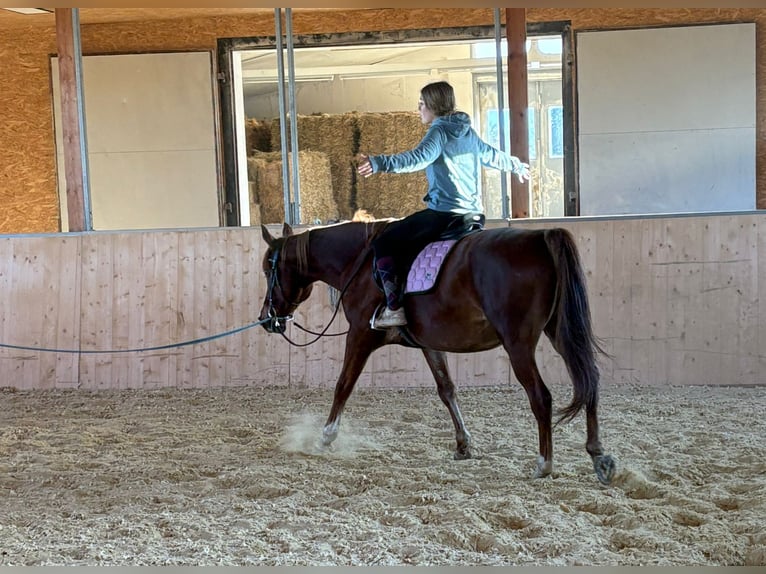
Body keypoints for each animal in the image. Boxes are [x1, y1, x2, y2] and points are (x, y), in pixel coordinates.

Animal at [258, 219, 616, 485]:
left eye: (267, 269)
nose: (266, 318)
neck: (359, 264)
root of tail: (541, 236)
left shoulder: (360, 335)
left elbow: (343, 385)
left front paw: (325, 437)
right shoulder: (429, 345)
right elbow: (447, 389)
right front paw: (463, 445)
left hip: (518, 343)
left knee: (541, 397)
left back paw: (544, 464)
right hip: (560, 333)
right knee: (589, 380)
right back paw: (598, 455)